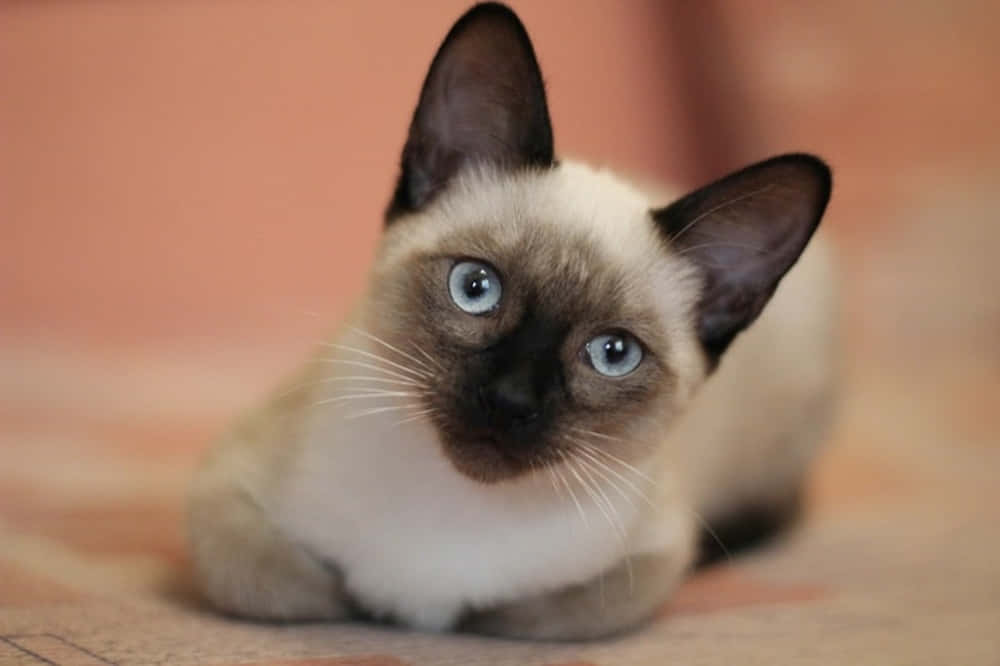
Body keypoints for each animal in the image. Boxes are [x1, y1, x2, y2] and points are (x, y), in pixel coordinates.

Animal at [186, 2, 836, 640]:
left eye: (613, 353)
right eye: (475, 289)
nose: (510, 400)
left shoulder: (646, 564)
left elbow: (518, 615)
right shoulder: (221, 496)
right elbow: (298, 589)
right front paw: (371, 602)